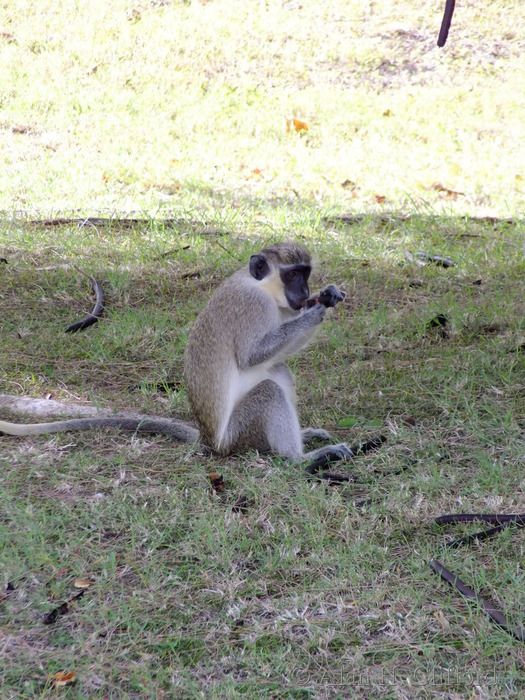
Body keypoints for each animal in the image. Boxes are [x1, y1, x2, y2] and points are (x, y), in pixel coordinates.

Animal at [0, 242, 352, 479]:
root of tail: (210, 441)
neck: (263, 288)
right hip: (240, 433)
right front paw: (316, 310)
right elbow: (251, 355)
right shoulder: (251, 307)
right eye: (291, 274)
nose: (304, 292)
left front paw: (326, 297)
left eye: (305, 273)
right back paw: (300, 458)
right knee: (269, 389)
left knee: (279, 370)